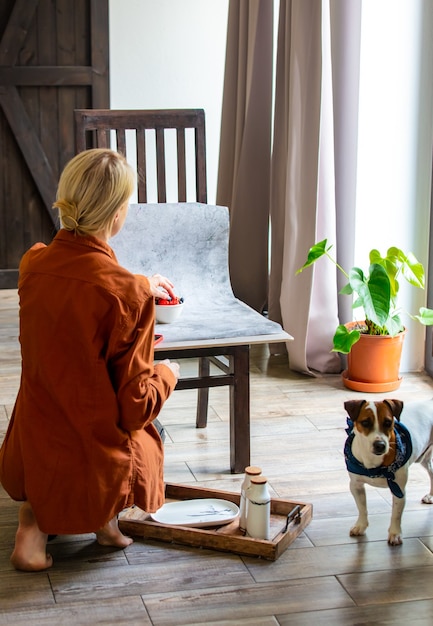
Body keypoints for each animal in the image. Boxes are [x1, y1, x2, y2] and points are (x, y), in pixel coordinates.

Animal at [346, 400, 433, 540]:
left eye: (387, 422)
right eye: (365, 422)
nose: (380, 445)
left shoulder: (399, 490)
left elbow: (396, 514)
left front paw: (395, 533)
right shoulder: (355, 485)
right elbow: (362, 508)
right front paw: (360, 526)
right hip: (424, 459)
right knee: (432, 472)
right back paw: (430, 495)